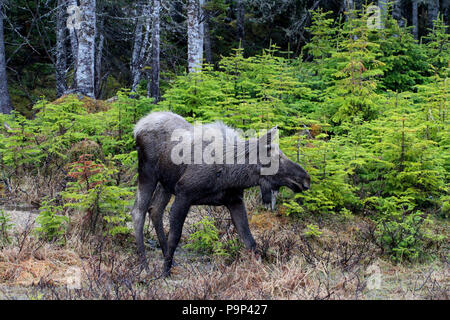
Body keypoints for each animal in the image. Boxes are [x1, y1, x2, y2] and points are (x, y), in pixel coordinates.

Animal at [130, 111, 310, 274]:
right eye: (276, 157)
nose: (306, 179)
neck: (230, 173)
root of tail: (137, 127)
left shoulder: (234, 200)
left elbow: (250, 241)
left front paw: (261, 271)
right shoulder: (184, 194)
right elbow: (175, 237)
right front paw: (164, 273)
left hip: (166, 183)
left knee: (155, 209)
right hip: (148, 172)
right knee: (138, 212)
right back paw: (145, 266)